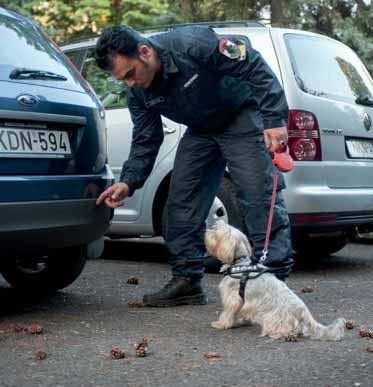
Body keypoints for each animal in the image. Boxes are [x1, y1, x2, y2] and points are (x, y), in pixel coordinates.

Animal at [205, 221, 344, 342]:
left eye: (215, 232)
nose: (206, 231)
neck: (240, 261)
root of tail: (303, 309)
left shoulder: (232, 298)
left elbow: (227, 313)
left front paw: (221, 324)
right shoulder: (243, 302)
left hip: (273, 318)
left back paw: (281, 334)